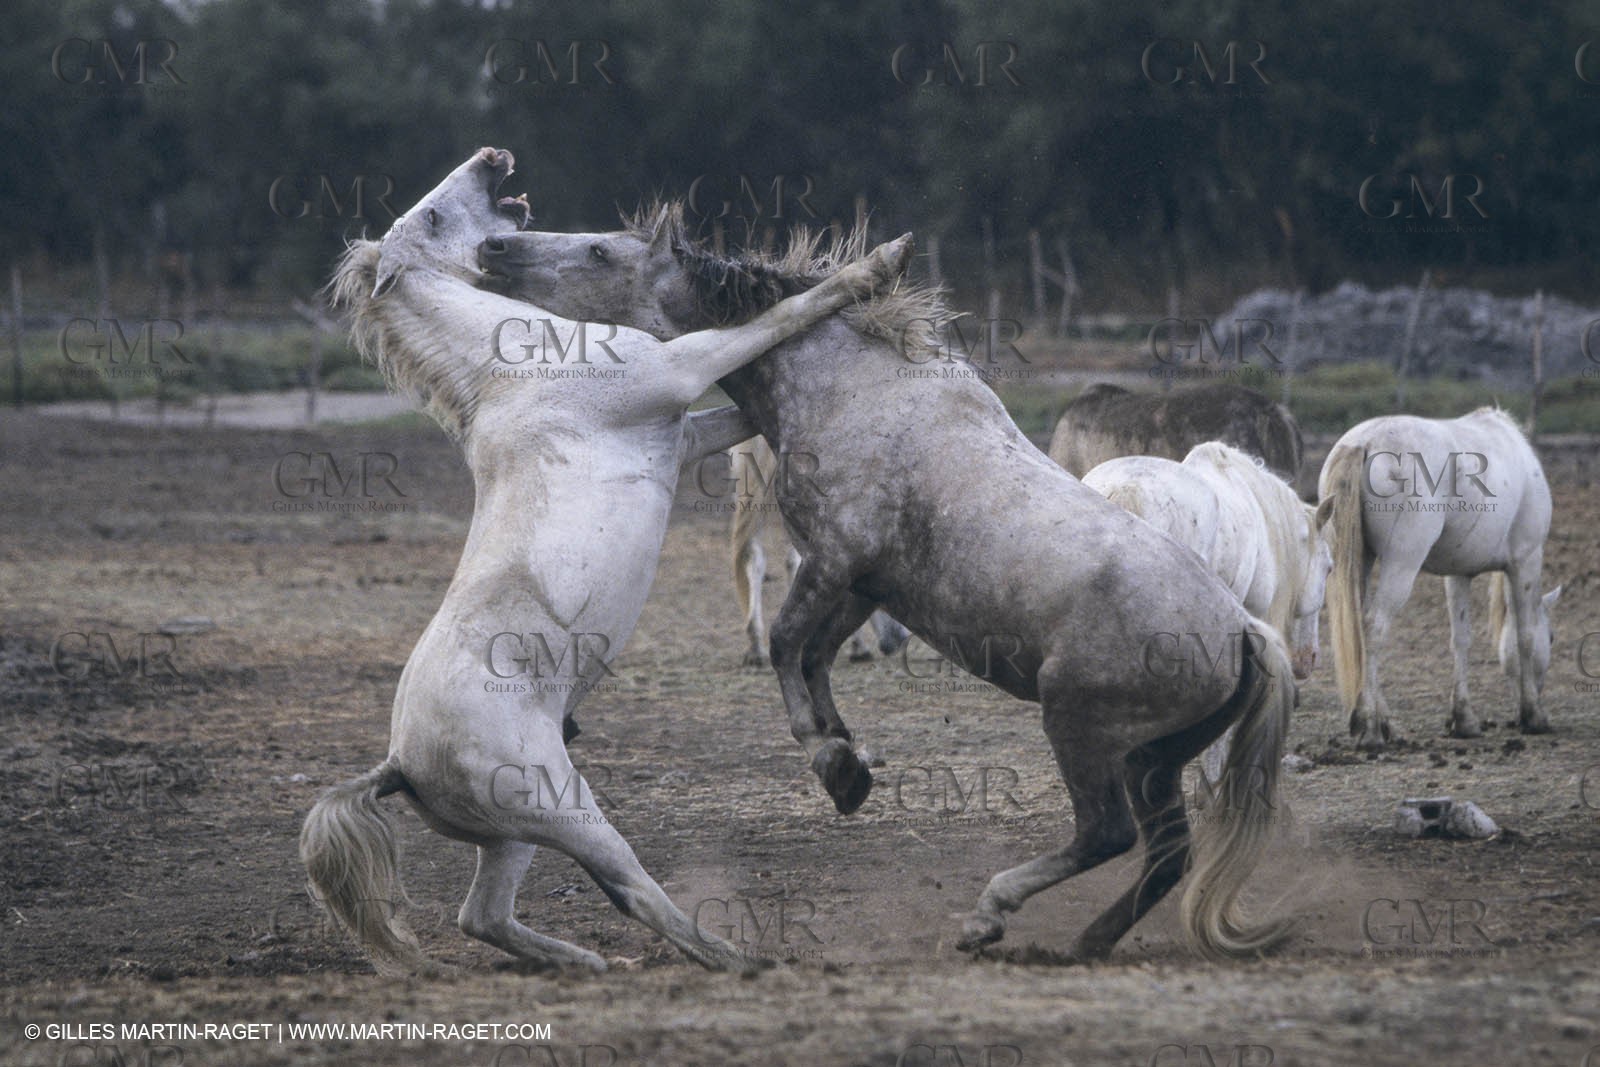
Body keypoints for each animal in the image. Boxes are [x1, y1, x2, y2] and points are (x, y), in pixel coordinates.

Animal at [1316, 408, 1561, 751]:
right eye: (1550, 638)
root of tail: (1363, 442)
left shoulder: (1458, 574)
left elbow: (1461, 640)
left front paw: (1464, 719)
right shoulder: (1526, 561)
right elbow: (1524, 636)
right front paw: (1533, 714)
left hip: (1359, 561)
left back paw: (1379, 721)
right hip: (1402, 564)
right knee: (1373, 627)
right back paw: (1372, 728)